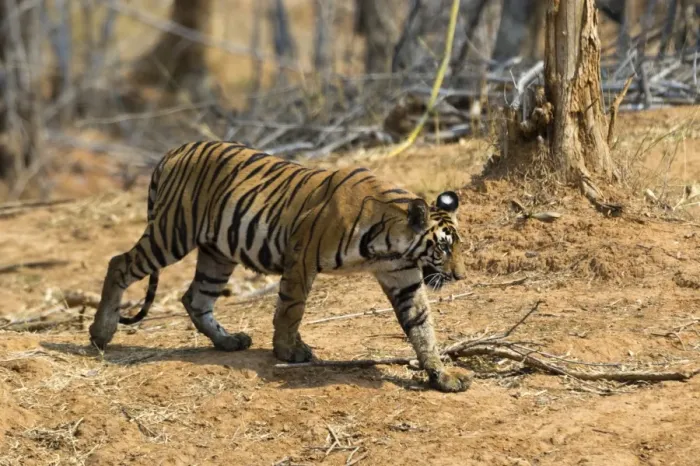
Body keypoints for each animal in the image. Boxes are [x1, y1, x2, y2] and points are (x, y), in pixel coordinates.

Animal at [89, 141, 471, 393]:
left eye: (458, 245)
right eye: (442, 247)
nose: (459, 276)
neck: (390, 245)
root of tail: (173, 151)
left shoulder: (402, 277)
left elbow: (422, 327)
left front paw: (442, 376)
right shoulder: (301, 257)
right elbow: (291, 308)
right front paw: (289, 351)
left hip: (217, 253)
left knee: (195, 298)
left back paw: (228, 341)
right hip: (172, 233)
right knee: (119, 263)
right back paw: (100, 332)